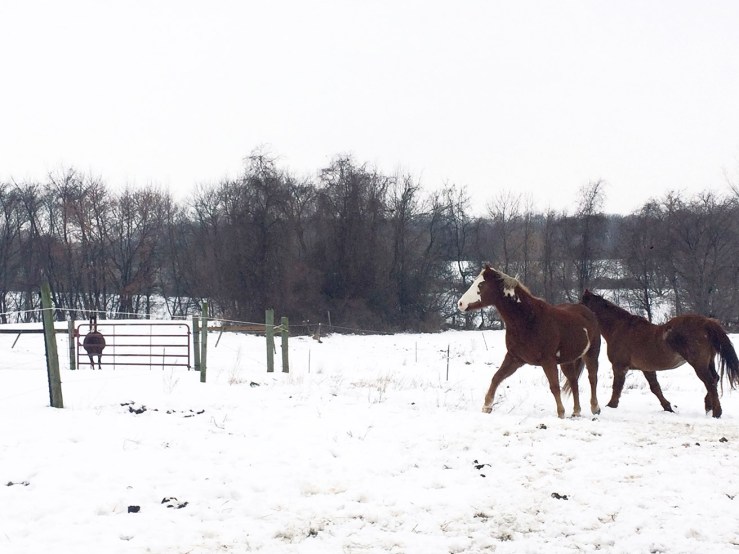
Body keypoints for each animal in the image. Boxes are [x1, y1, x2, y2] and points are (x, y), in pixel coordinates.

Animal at [458, 264, 601, 418]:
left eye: (481, 284)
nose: (460, 303)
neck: (528, 320)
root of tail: (589, 312)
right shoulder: (515, 359)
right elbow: (496, 377)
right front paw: (487, 406)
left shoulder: (547, 361)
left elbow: (554, 386)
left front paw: (561, 413)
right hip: (567, 361)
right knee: (574, 382)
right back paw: (576, 411)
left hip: (591, 354)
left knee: (592, 378)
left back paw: (595, 408)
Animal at [581, 290, 739, 418]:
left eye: (582, 304)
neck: (619, 328)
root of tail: (706, 322)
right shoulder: (647, 369)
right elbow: (655, 388)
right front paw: (668, 407)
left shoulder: (620, 366)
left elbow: (617, 387)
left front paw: (611, 406)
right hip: (708, 362)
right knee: (715, 379)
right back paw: (709, 407)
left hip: (698, 364)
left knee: (710, 382)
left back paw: (717, 412)